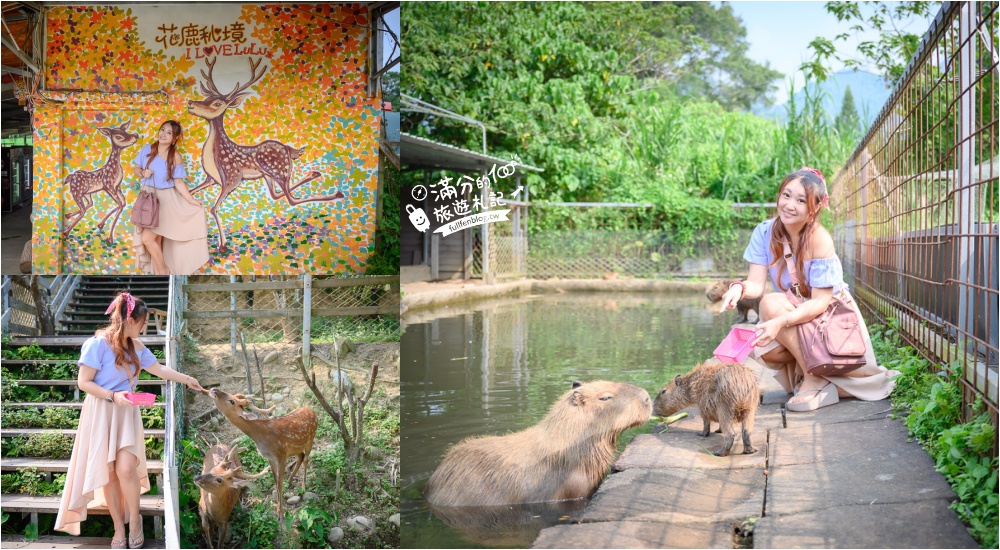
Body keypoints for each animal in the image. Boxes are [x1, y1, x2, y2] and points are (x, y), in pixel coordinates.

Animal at [186, 56, 346, 252]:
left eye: (217, 103)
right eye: (206, 97)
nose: (191, 103)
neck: (213, 159)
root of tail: (287, 148)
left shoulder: (232, 178)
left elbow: (214, 208)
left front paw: (223, 245)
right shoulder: (211, 178)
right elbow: (191, 192)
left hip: (277, 168)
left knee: (290, 199)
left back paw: (336, 193)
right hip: (267, 174)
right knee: (278, 195)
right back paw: (314, 174)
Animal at [208, 390, 320, 520]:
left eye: (232, 401)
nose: (214, 390)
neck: (261, 435)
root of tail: (312, 410)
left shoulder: (281, 454)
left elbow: (279, 484)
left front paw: (281, 515)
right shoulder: (270, 457)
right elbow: (276, 482)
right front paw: (278, 509)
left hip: (310, 439)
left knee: (306, 459)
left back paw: (303, 487)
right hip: (295, 448)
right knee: (300, 457)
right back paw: (290, 480)